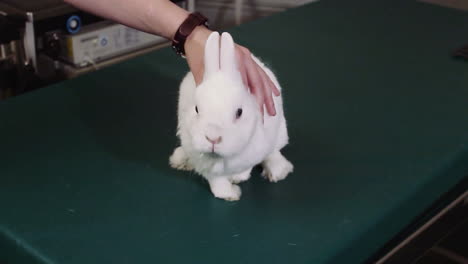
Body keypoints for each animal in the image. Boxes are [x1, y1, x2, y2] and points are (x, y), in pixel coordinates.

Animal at [168, 31, 292, 200]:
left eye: (239, 112)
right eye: (197, 109)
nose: (213, 138)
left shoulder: (253, 152)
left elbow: (246, 168)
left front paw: (237, 178)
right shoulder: (206, 167)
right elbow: (218, 184)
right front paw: (231, 194)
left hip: (279, 133)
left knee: (273, 153)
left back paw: (278, 171)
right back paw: (179, 160)